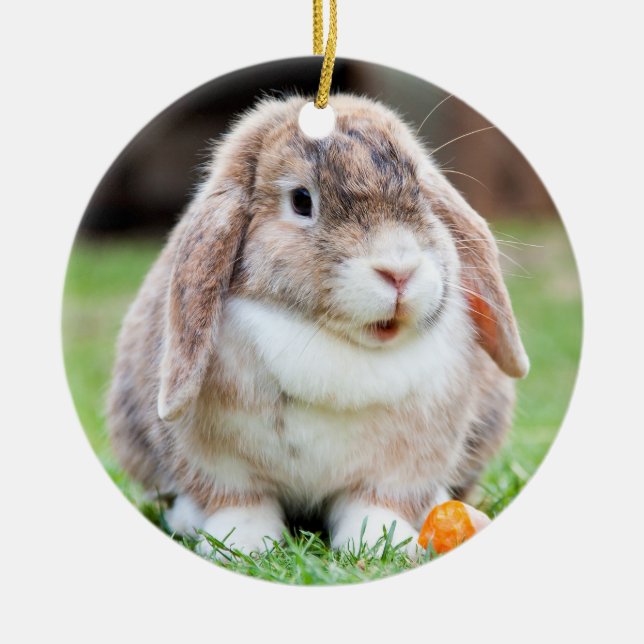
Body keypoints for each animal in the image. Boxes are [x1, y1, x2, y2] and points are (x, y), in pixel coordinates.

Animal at [106, 94, 529, 559]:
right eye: (301, 200)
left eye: (419, 189)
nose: (399, 271)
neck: (335, 343)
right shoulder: (220, 465)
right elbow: (240, 503)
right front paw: (242, 546)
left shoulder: (400, 467)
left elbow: (376, 504)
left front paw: (382, 544)